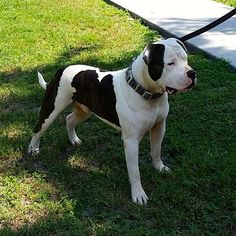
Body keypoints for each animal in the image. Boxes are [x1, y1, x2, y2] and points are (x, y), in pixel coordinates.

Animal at [28, 37, 196, 204]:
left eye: (186, 59)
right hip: (52, 109)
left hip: (85, 111)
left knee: (69, 119)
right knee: (38, 128)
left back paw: (73, 139)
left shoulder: (159, 127)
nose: (192, 73)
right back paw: (33, 149)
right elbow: (134, 171)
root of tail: (62, 69)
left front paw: (159, 167)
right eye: (170, 63)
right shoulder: (131, 140)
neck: (146, 92)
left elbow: (156, 151)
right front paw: (138, 194)